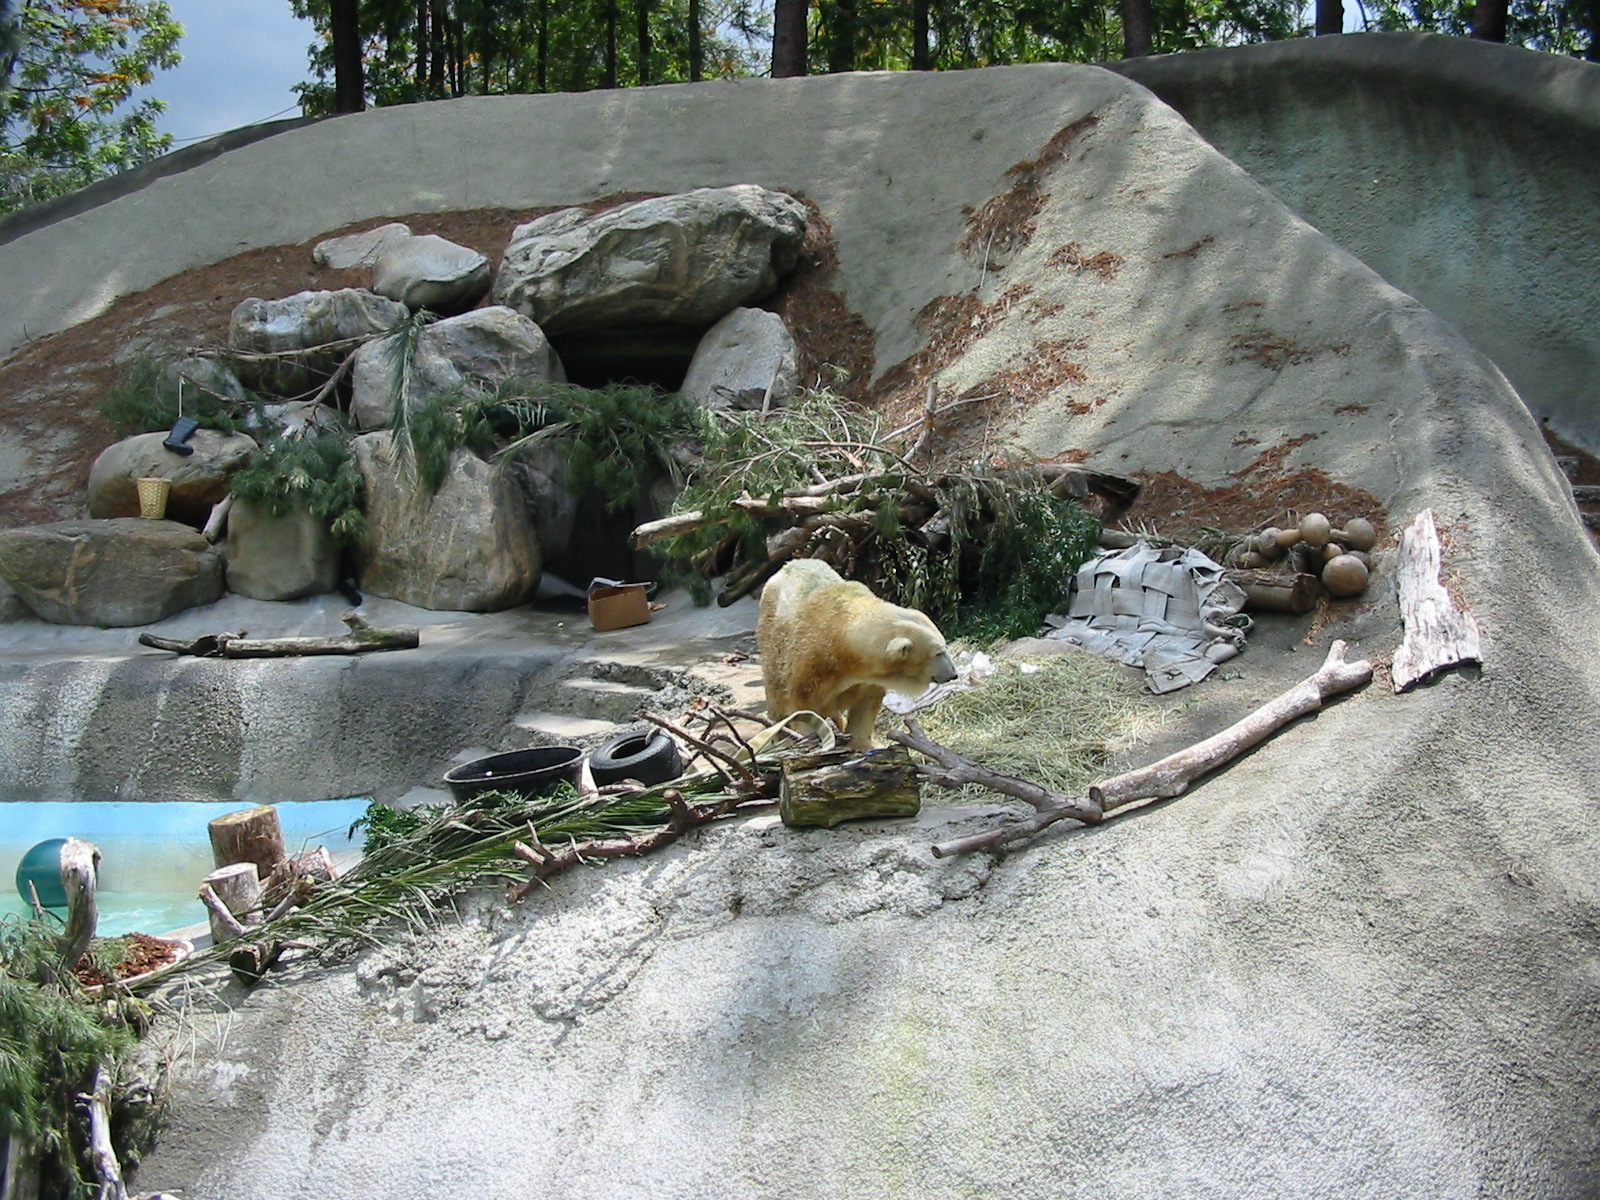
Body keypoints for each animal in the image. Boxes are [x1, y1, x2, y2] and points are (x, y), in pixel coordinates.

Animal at [757, 558, 959, 749]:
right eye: (938, 652)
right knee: (776, 691)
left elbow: (866, 704)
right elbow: (803, 702)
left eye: (944, 646)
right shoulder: (813, 661)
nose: (953, 674)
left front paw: (862, 744)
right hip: (772, 637)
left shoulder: (867, 678)